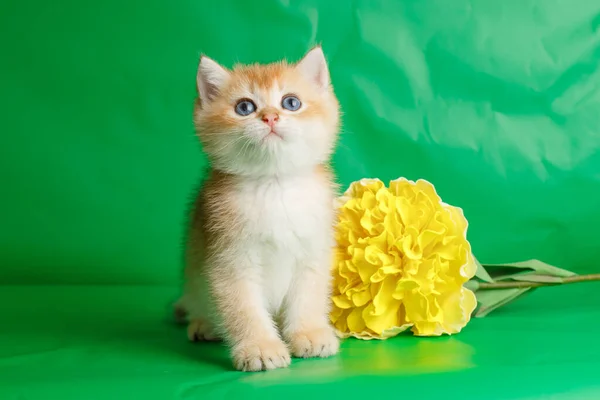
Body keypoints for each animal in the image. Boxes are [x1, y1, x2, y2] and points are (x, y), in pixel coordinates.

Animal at [175, 47, 342, 372]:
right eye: (244, 107)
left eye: (291, 102)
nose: (270, 117)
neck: (273, 185)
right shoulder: (229, 259)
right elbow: (243, 309)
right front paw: (260, 347)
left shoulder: (312, 252)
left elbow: (308, 296)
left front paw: (309, 332)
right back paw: (203, 324)